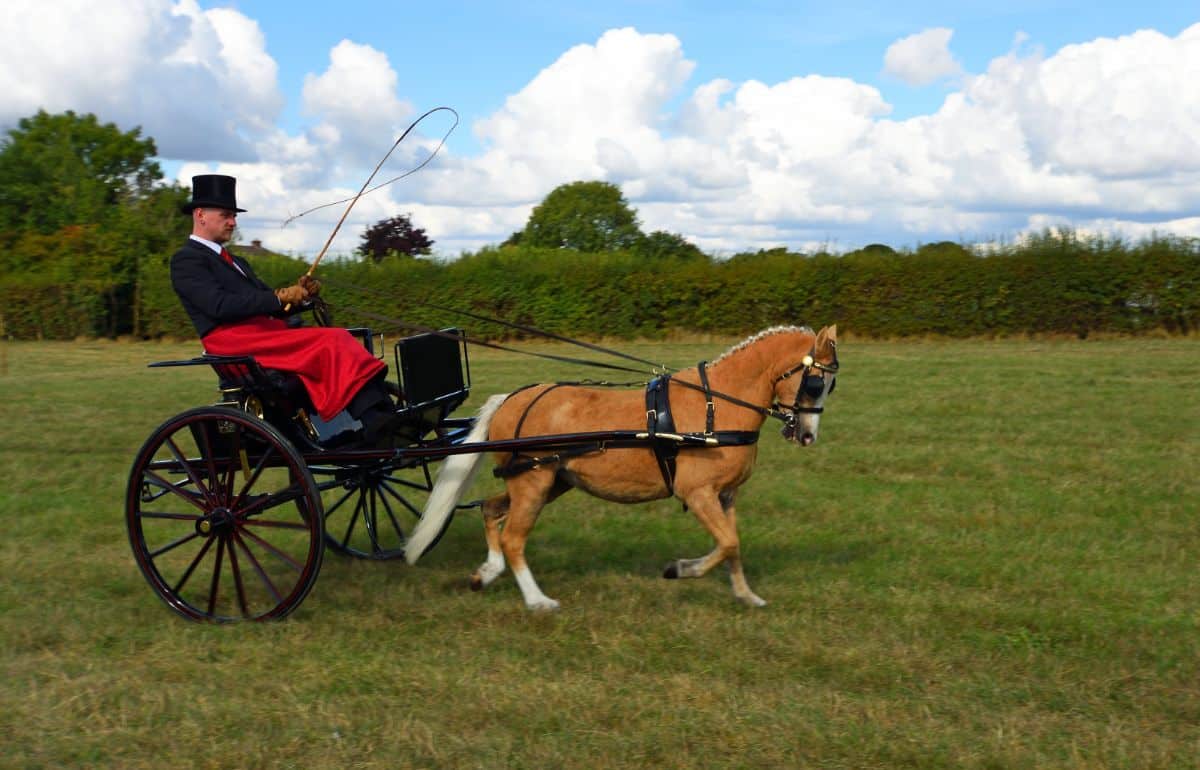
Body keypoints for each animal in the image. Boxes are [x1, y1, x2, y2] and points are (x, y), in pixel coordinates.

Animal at [408, 321, 840, 604]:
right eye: (815, 382)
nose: (807, 435)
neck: (716, 406)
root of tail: (510, 399)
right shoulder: (697, 493)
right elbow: (728, 542)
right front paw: (681, 569)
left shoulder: (725, 495)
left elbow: (732, 547)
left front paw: (747, 596)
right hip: (534, 482)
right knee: (513, 537)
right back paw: (538, 602)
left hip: (547, 480)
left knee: (490, 510)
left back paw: (487, 573)